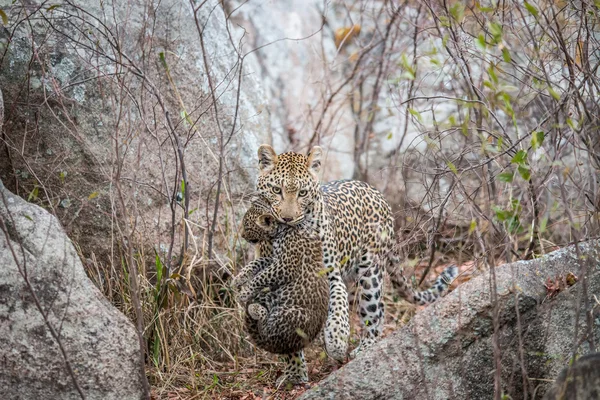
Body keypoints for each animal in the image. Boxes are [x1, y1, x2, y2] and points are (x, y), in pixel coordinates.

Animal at [255, 145, 458, 360]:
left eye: (303, 193)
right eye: (276, 190)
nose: (287, 218)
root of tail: (375, 191)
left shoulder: (331, 275)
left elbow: (337, 307)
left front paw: (336, 341)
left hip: (369, 273)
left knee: (373, 308)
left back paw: (365, 347)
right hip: (353, 281)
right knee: (379, 308)